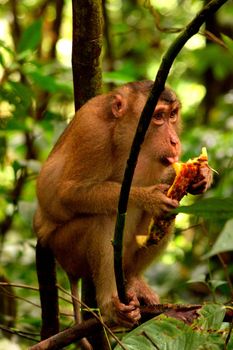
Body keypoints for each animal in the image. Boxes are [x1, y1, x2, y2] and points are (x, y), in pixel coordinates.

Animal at [33, 80, 213, 334]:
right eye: (158, 116)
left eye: (173, 115)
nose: (174, 141)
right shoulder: (92, 131)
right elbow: (68, 193)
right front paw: (149, 198)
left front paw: (202, 176)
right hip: (65, 249)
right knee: (103, 218)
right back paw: (111, 304)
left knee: (168, 216)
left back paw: (134, 279)